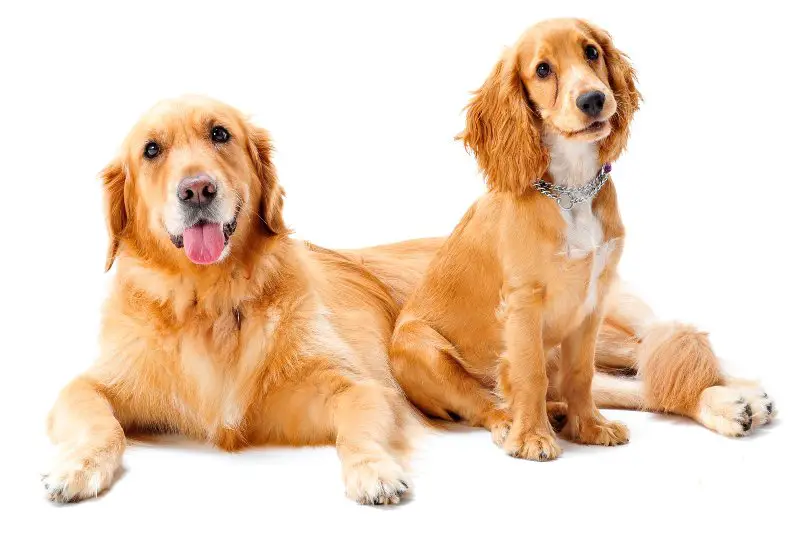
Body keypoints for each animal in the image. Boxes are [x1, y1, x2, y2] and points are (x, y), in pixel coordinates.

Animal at [384, 18, 772, 460]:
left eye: (591, 52)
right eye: (542, 70)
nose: (593, 99)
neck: (572, 188)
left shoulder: (593, 301)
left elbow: (582, 375)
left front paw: (589, 426)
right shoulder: (524, 303)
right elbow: (529, 374)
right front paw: (532, 437)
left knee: (643, 375)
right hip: (419, 350)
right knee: (482, 401)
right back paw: (513, 421)